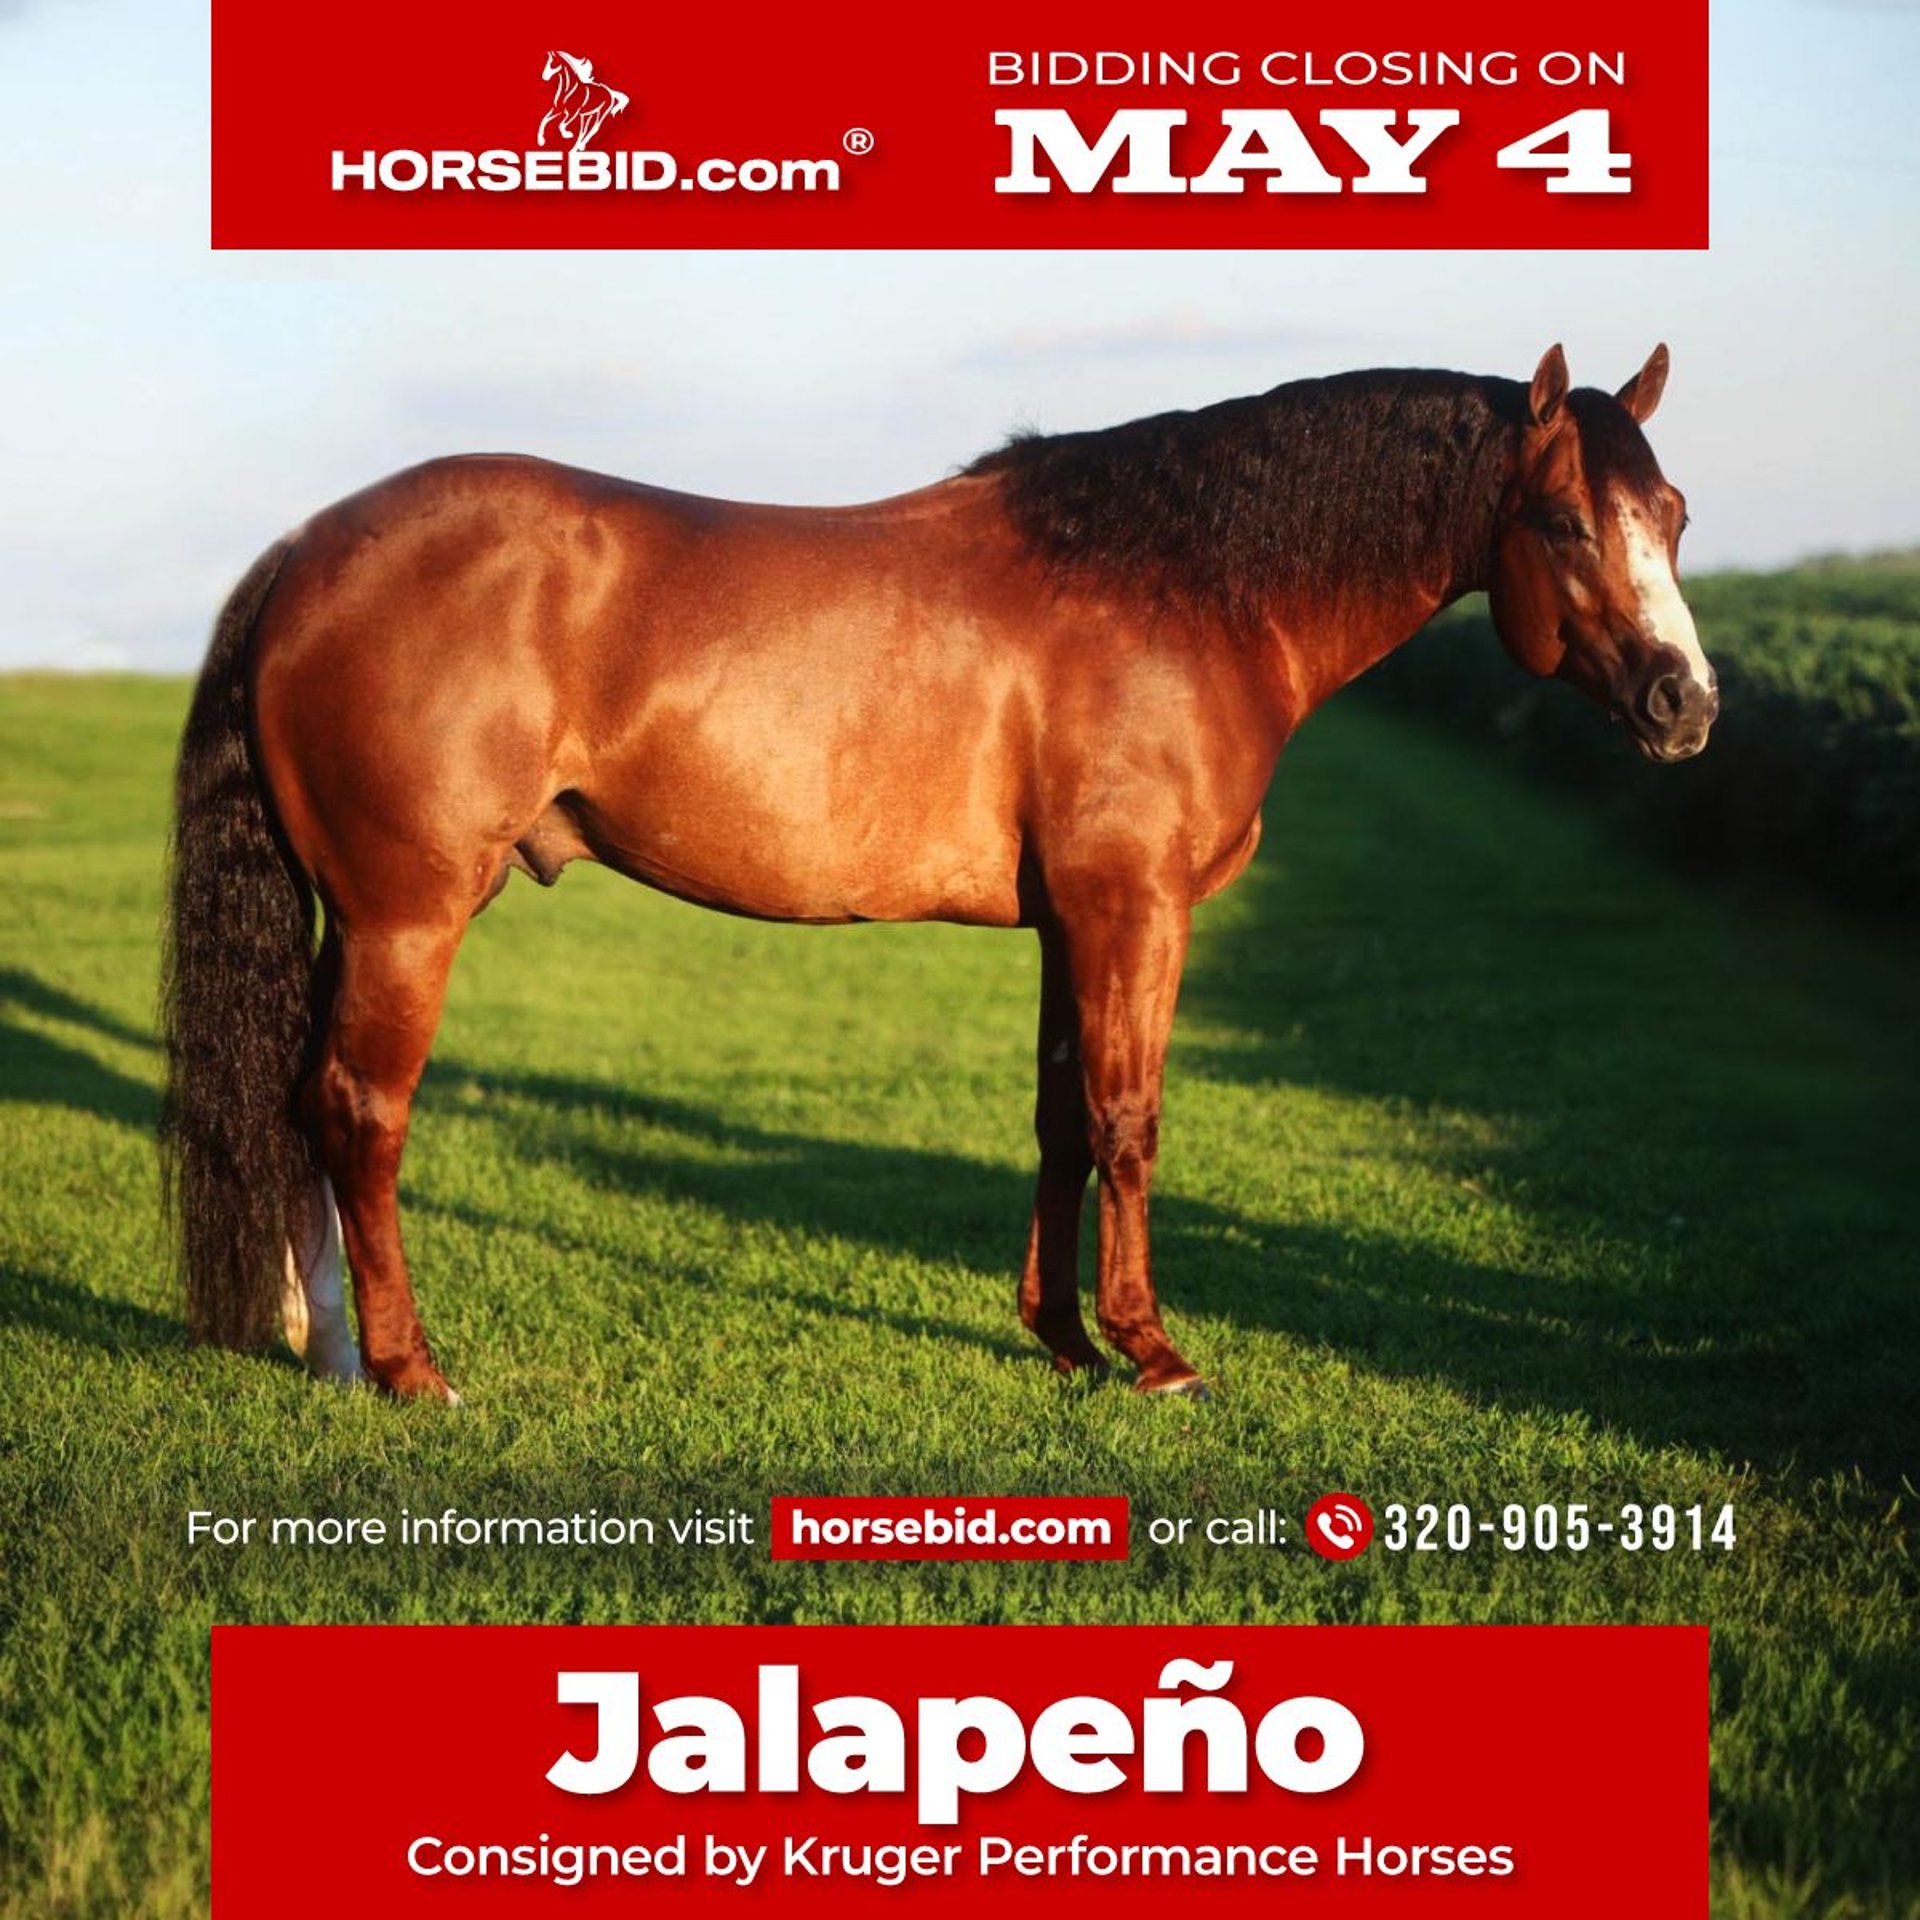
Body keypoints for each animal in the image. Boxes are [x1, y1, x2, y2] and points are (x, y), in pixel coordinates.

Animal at [161, 345, 1715, 1404]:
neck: (1182, 589)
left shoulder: (1069, 922)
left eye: (1679, 515)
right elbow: (1131, 1120)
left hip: (358, 916)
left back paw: (325, 1347)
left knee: (297, 1105)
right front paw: (1154, 1353)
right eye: (1568, 524)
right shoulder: (1132, 908)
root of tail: (306, 553)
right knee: (359, 1112)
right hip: (407, 915)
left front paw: (1065, 1338)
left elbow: (1061, 1120)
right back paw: (410, 1370)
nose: (1686, 704)